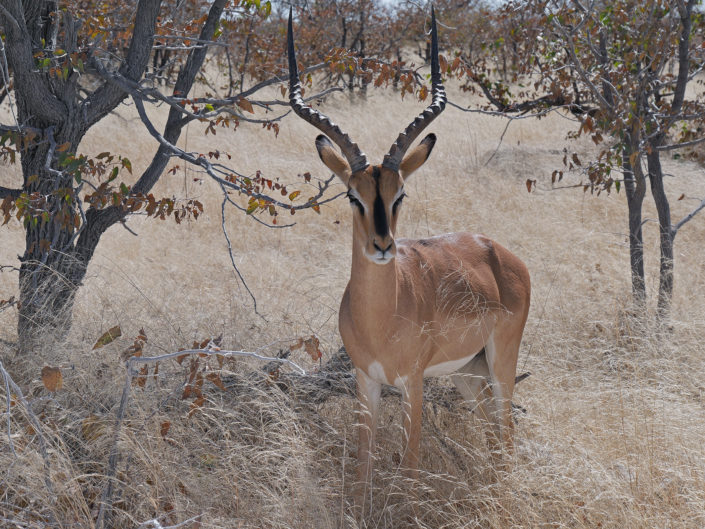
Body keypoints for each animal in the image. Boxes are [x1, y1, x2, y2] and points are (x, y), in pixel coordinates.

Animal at [287, 8, 530, 507]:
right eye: (352, 196)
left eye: (400, 194)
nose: (383, 246)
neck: (382, 317)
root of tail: (500, 252)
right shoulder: (366, 380)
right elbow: (362, 468)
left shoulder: (413, 383)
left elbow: (412, 464)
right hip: (468, 372)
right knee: (491, 432)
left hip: (501, 361)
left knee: (507, 429)